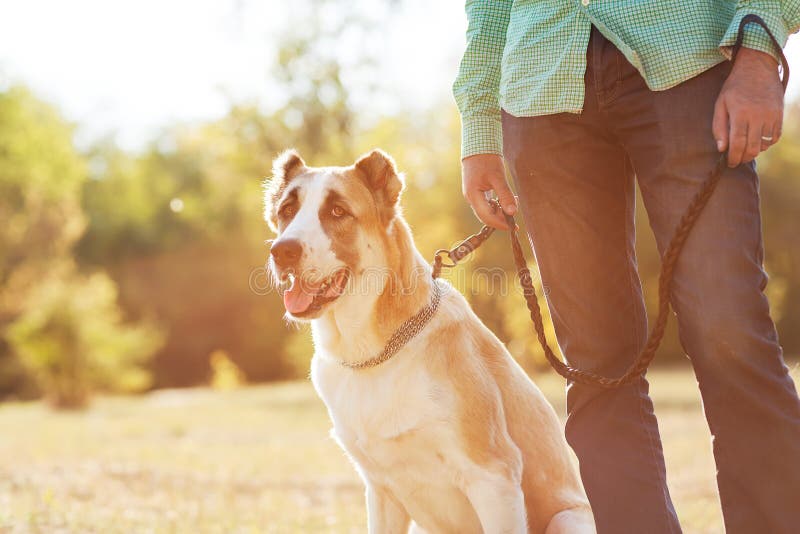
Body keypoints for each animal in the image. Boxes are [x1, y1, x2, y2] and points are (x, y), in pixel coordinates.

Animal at [264, 150, 592, 534]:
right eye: (287, 210)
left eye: (337, 211)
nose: (282, 251)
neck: (374, 353)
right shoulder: (381, 491)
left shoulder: (492, 476)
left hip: (568, 518)